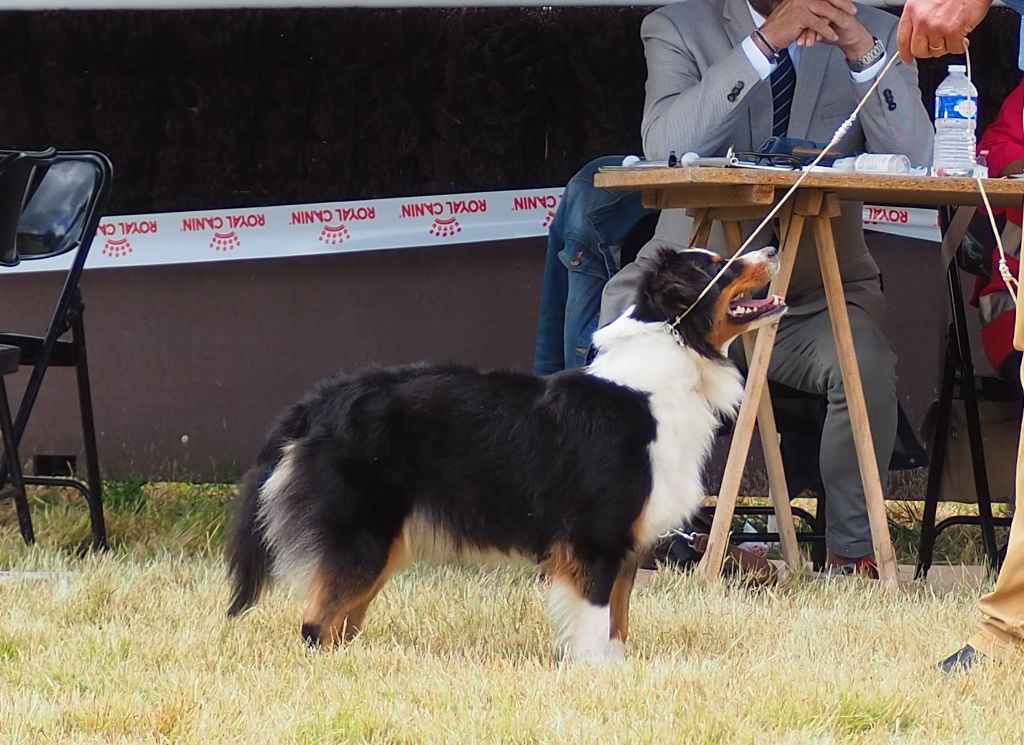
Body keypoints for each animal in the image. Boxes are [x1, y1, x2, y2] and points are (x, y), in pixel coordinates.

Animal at [224, 247, 782, 659]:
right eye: (720, 265)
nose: (773, 249)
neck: (665, 370)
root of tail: (321, 400)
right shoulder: (596, 538)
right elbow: (597, 619)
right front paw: (594, 675)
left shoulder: (625, 544)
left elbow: (619, 622)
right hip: (362, 534)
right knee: (316, 624)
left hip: (382, 544)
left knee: (341, 622)